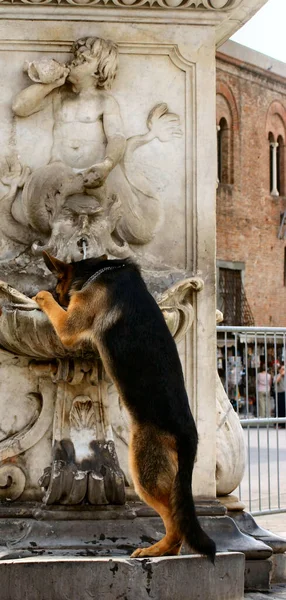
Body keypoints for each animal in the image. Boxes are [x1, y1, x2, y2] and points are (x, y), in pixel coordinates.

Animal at [33, 251, 216, 560]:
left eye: (57, 287)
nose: (56, 293)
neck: (102, 270)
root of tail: (188, 437)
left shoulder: (69, 326)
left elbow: (58, 313)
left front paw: (41, 295)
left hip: (143, 472)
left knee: (175, 523)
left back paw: (154, 549)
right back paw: (162, 550)